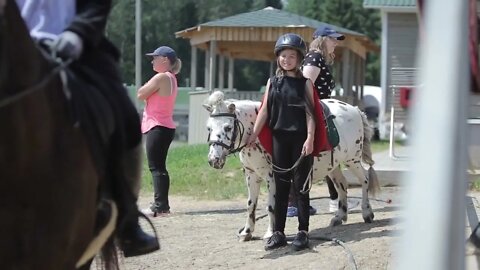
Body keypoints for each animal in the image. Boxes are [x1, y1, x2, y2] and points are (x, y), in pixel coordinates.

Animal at [204, 90, 380, 240]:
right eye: (209, 128)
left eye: (228, 127)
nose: (214, 160)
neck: (258, 132)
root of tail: (355, 109)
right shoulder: (251, 175)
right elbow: (250, 204)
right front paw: (247, 232)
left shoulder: (273, 177)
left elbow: (271, 206)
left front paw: (270, 233)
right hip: (333, 165)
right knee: (342, 184)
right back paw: (339, 217)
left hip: (352, 160)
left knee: (364, 179)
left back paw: (367, 212)